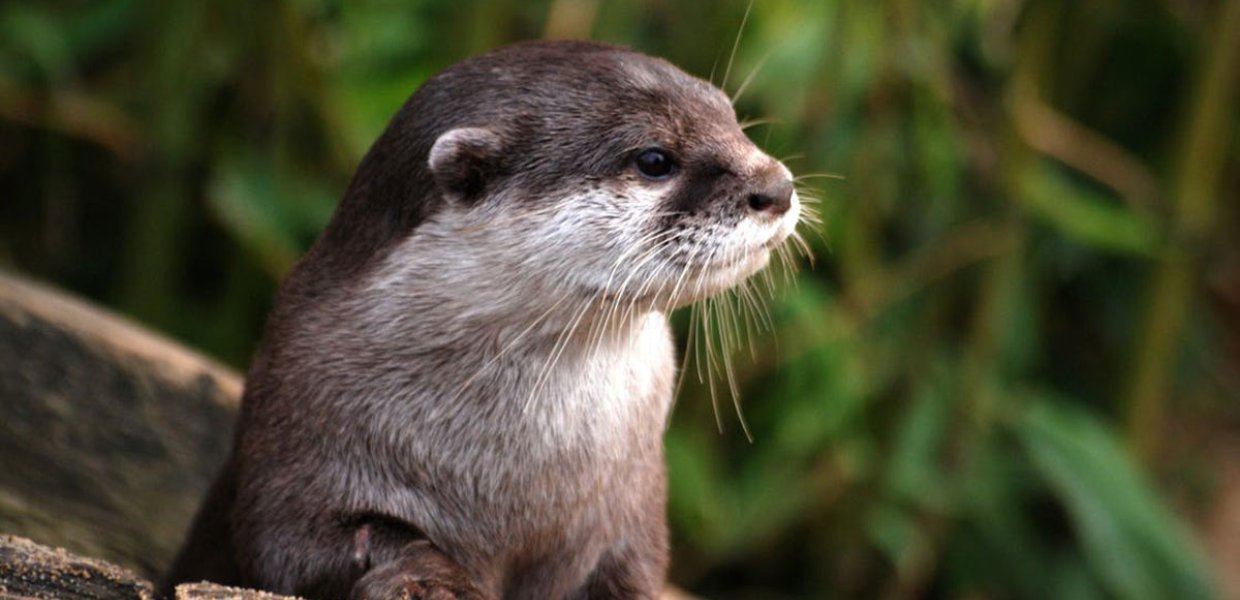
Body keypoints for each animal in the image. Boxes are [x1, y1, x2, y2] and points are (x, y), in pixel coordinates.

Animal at [164, 39, 798, 597]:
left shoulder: (633, 512)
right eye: (655, 160)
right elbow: (301, 546)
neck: (514, 480)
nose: (777, 187)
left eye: (730, 118)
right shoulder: (292, 444)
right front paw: (430, 581)